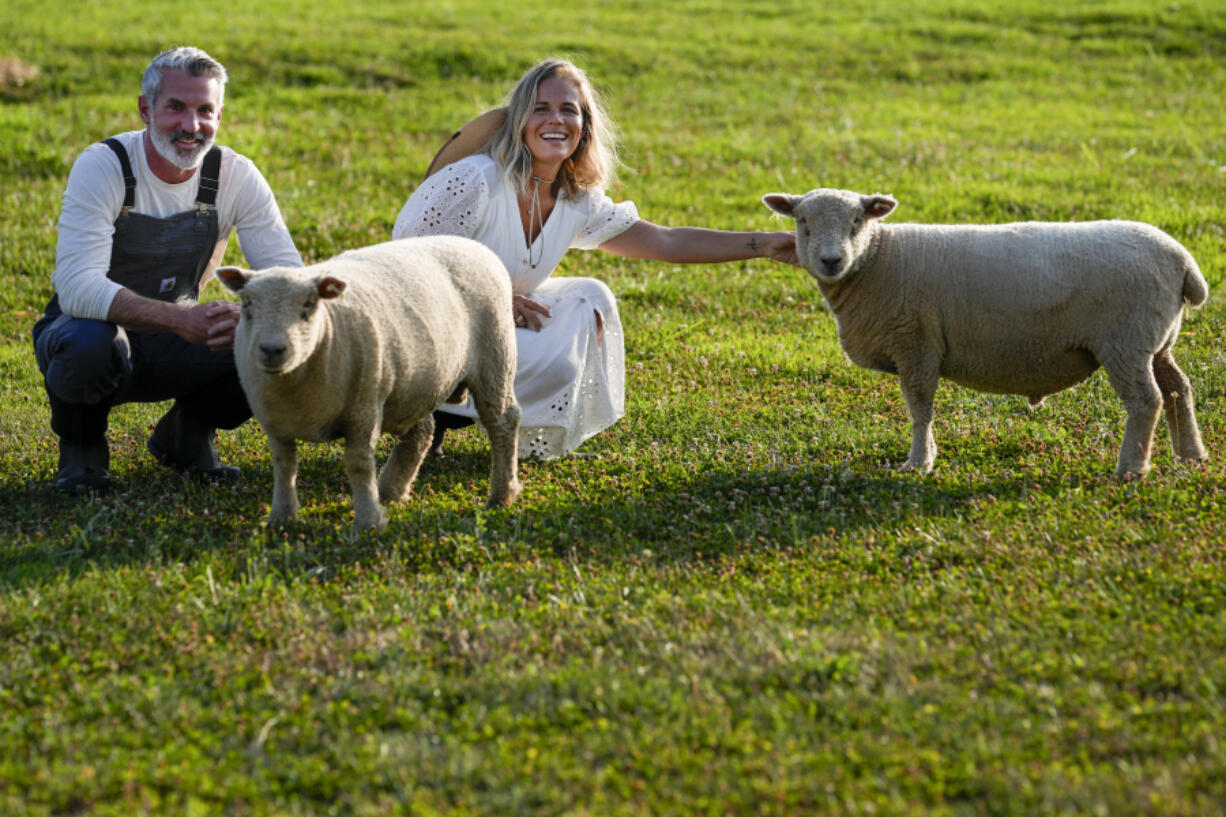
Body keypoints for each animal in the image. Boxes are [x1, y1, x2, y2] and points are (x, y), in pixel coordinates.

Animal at [217, 235, 522, 527]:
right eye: (247, 306)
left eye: (309, 305)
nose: (272, 349)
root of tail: (473, 244)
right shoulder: (276, 424)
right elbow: (284, 467)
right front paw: (281, 518)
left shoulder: (362, 411)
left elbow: (359, 466)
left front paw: (367, 522)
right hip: (414, 385)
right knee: (422, 431)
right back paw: (391, 491)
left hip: (495, 357)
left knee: (503, 422)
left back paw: (501, 495)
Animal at [760, 186, 1211, 473]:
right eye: (802, 220)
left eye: (857, 219)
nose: (831, 260)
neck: (878, 259)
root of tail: (1182, 260)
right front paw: (927, 456)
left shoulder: (916, 342)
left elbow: (919, 406)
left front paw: (918, 463)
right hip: (1157, 342)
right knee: (1178, 388)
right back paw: (1191, 455)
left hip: (1126, 342)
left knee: (1146, 401)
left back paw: (1131, 468)